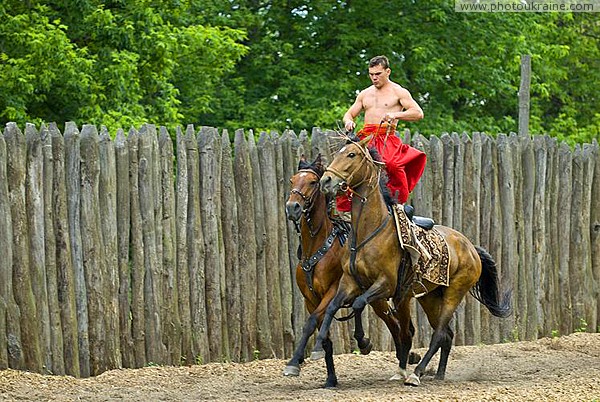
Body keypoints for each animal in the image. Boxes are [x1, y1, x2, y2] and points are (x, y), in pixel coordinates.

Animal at [284, 154, 418, 386]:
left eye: (312, 182)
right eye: (292, 180)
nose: (292, 207)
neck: (317, 248)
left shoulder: (331, 292)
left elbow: (311, 323)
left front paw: (295, 362)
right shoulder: (310, 299)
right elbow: (323, 336)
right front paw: (330, 378)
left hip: (380, 298)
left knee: (394, 324)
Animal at [314, 136, 510, 386]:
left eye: (351, 154)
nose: (326, 180)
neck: (369, 231)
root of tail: (471, 248)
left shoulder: (386, 284)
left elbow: (358, 304)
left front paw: (363, 341)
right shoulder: (350, 282)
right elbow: (333, 308)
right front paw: (319, 347)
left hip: (454, 292)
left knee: (439, 334)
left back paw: (417, 373)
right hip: (429, 296)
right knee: (446, 334)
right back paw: (438, 373)